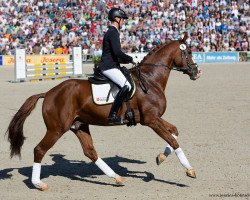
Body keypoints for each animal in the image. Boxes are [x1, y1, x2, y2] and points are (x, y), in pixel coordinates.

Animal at [6, 32, 201, 191]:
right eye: (189, 52)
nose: (197, 72)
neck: (150, 80)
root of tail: (48, 93)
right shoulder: (151, 120)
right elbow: (173, 141)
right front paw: (190, 170)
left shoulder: (155, 118)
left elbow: (174, 132)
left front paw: (160, 157)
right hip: (56, 129)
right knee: (39, 150)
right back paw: (39, 184)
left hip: (79, 125)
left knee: (90, 151)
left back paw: (116, 177)